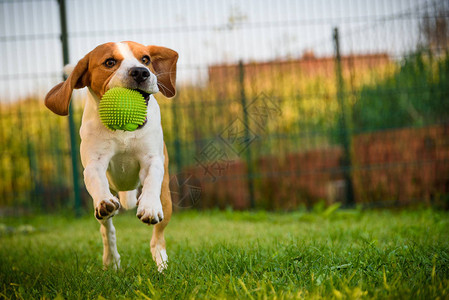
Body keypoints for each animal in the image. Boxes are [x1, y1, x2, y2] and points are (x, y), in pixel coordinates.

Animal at [44, 41, 178, 272]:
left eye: (145, 59)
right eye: (109, 62)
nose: (140, 72)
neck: (124, 131)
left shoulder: (153, 160)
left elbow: (152, 178)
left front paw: (149, 206)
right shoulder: (94, 164)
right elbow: (97, 181)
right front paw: (105, 202)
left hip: (166, 200)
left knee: (158, 236)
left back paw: (161, 262)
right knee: (107, 229)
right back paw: (111, 260)